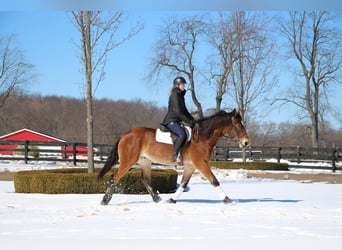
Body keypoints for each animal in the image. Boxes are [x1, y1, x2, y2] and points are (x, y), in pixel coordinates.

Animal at [96, 109, 248, 205]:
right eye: (238, 125)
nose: (246, 142)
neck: (203, 137)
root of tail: (125, 135)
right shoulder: (200, 163)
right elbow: (214, 180)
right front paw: (228, 200)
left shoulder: (190, 166)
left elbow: (184, 183)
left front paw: (172, 200)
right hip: (128, 161)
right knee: (114, 178)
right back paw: (105, 200)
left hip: (145, 162)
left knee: (145, 179)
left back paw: (158, 200)